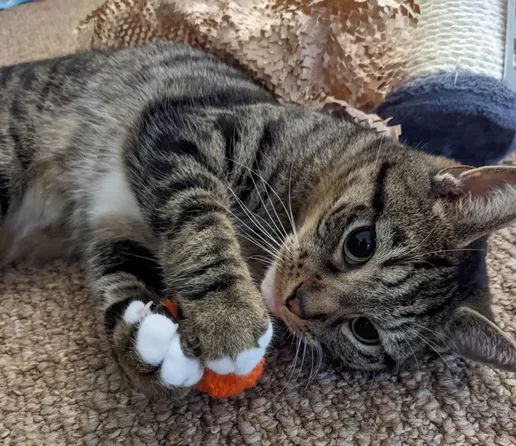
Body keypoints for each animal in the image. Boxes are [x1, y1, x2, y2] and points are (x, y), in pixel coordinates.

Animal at [1, 41, 516, 396]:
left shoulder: (115, 224)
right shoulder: (180, 129)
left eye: (365, 331)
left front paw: (146, 346)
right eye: (361, 244)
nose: (295, 303)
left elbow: (122, 273)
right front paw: (227, 315)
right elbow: (198, 219)